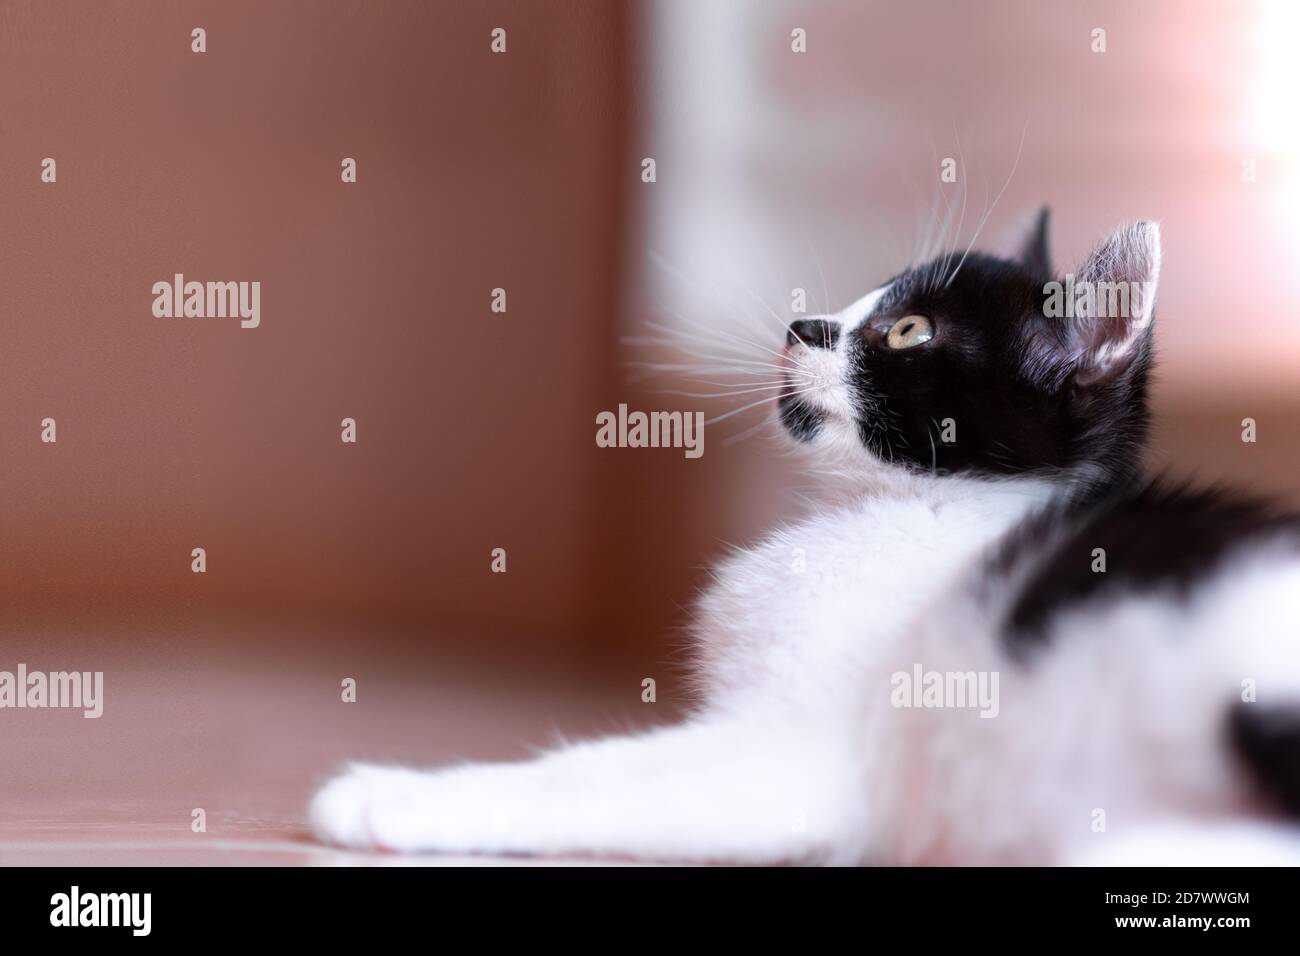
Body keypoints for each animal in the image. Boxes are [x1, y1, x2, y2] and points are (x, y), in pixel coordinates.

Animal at [312, 214, 1300, 868]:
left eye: (907, 329)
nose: (802, 325)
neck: (916, 511)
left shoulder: (796, 754)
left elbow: (592, 777)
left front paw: (395, 795)